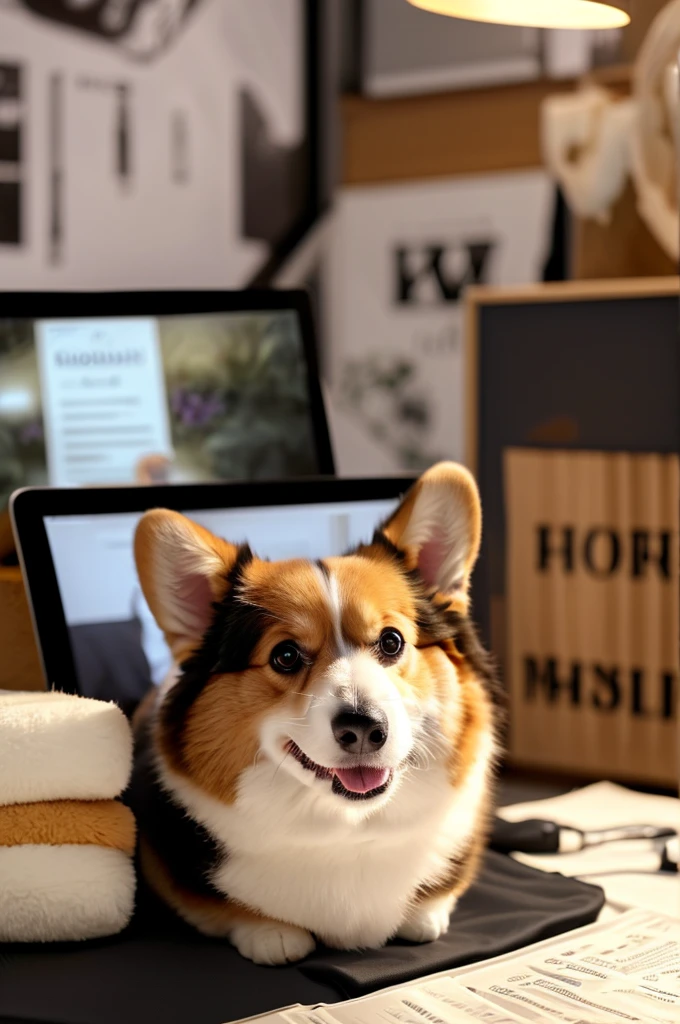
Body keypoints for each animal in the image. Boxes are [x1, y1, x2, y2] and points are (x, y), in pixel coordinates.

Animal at [130, 464, 501, 966]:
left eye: (391, 642)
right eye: (285, 655)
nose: (364, 729)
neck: (346, 829)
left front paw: (424, 914)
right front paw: (270, 933)